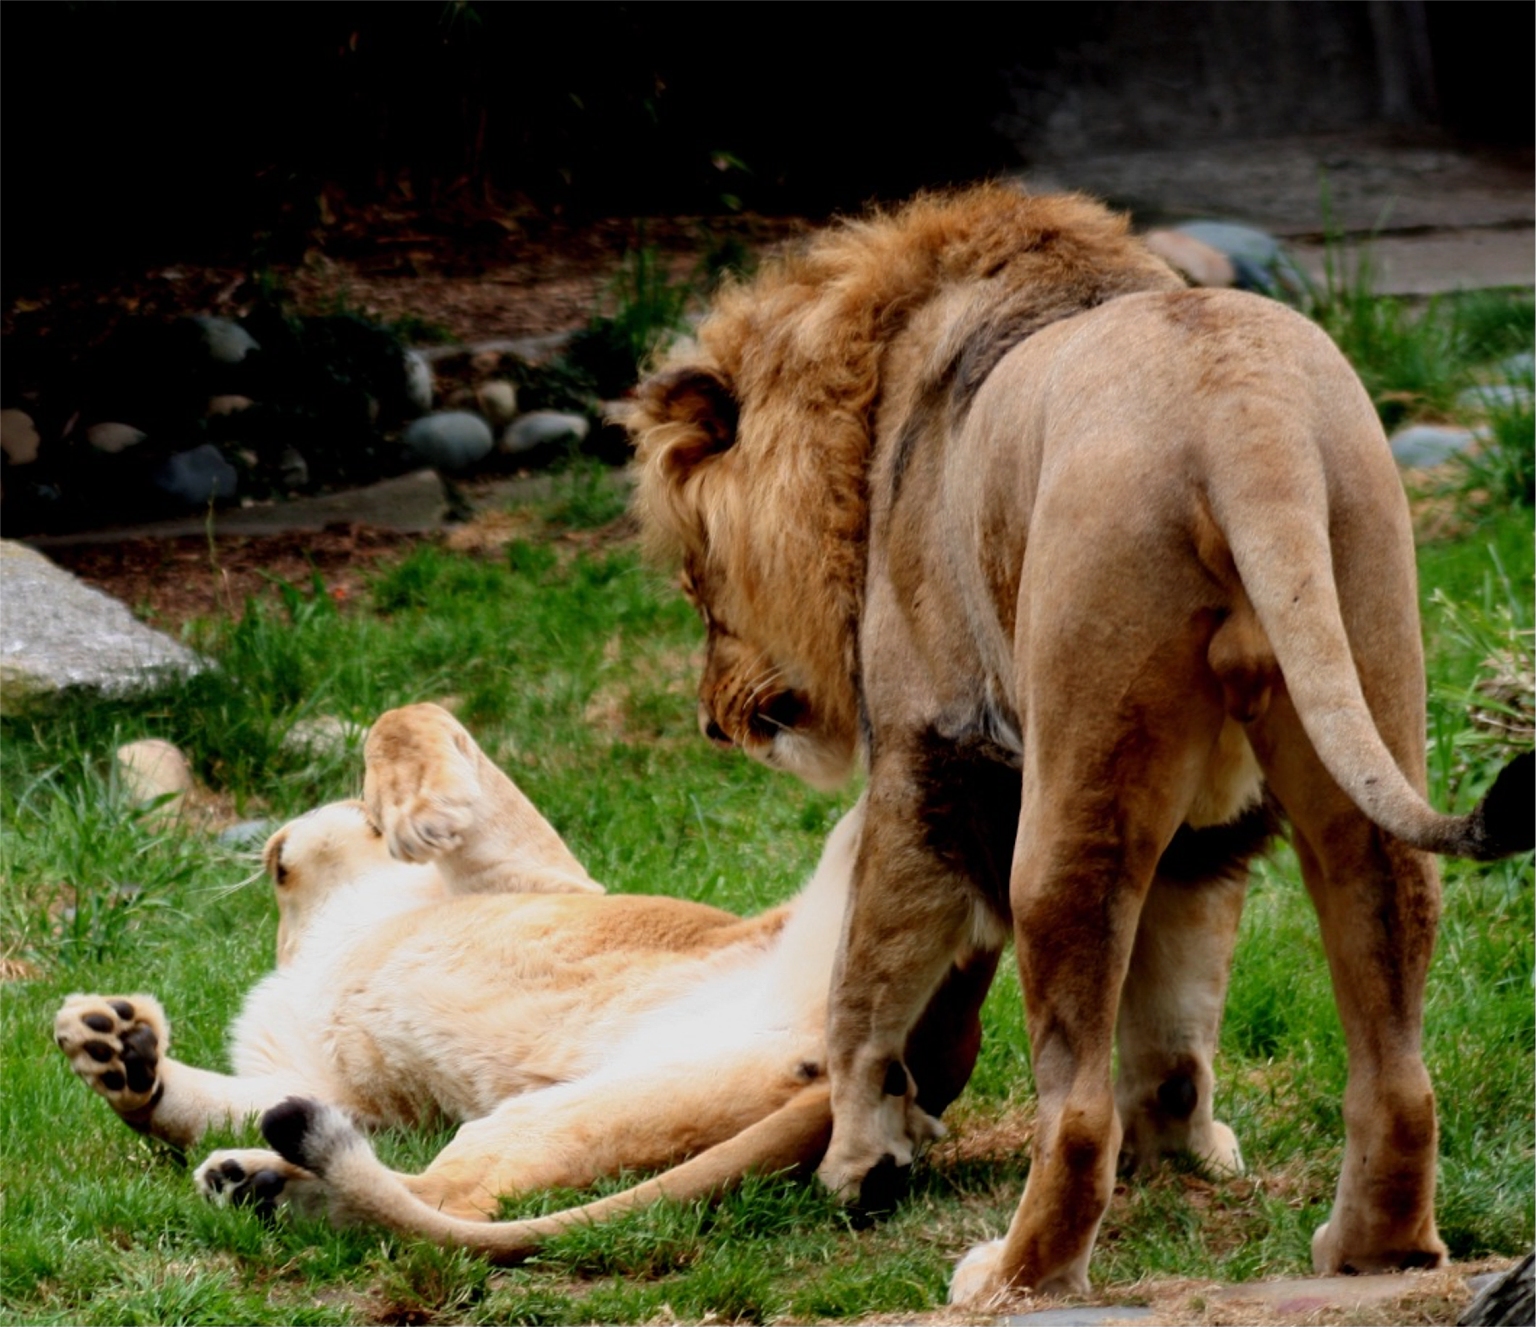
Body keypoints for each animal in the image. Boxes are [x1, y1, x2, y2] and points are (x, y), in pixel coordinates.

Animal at [56, 706, 983, 1253]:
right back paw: (257, 1184)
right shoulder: (351, 1094)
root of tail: (908, 1086)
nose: (272, 839)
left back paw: (272, 1188)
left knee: (452, 1201)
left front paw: (412, 807)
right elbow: (200, 1099)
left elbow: (410, 714)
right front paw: (114, 1047)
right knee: (444, 1196)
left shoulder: (533, 874)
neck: (314, 932)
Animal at [626, 184, 1536, 1308]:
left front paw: (856, 1161)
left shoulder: (925, 756)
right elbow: (1176, 1017)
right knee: (1395, 1028)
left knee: (1070, 1099)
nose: (712, 717)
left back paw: (1015, 1272)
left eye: (697, 580)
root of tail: (1245, 416)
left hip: (1070, 775)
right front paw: (1183, 1150)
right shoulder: (1201, 837)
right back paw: (1379, 1246)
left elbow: (860, 990)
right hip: (1361, 646)